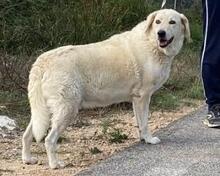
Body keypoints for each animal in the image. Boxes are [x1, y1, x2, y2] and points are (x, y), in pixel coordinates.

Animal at [21, 8, 191, 168]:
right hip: (67, 109)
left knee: (27, 135)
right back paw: (55, 164)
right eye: (157, 22)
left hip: (43, 110)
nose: (160, 33)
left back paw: (28, 159)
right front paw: (149, 139)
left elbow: (139, 122)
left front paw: (143, 138)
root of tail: (43, 60)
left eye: (172, 22)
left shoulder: (136, 99)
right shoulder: (143, 97)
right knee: (49, 140)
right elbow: (144, 123)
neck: (152, 43)